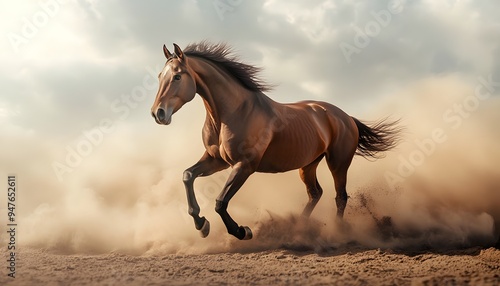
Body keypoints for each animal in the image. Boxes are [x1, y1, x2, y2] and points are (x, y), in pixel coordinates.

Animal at [150, 42, 400, 239]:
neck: (232, 113)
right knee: (315, 193)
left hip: (338, 163)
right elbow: (187, 175)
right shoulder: (216, 160)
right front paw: (201, 224)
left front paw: (242, 231)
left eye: (177, 76)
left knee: (340, 196)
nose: (158, 113)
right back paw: (299, 229)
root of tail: (346, 117)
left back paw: (336, 232)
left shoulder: (244, 165)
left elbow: (221, 202)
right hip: (308, 165)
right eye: (160, 77)